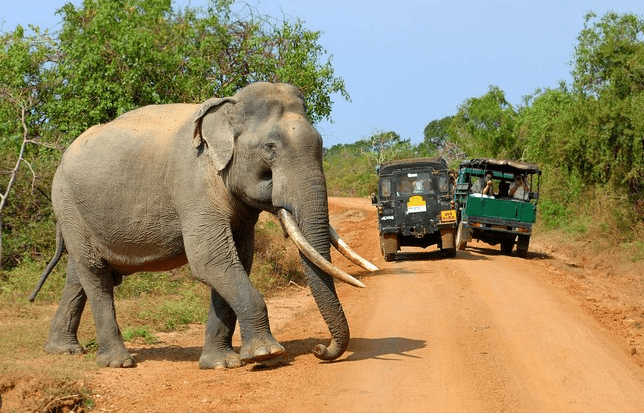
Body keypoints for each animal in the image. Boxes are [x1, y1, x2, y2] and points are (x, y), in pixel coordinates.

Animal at [29, 82, 378, 369]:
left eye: (320, 144)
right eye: (270, 147)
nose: (320, 349)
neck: (228, 108)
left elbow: (238, 261)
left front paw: (221, 364)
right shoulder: (193, 184)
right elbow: (211, 261)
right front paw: (266, 355)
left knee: (79, 272)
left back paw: (63, 350)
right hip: (68, 202)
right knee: (95, 273)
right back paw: (119, 362)